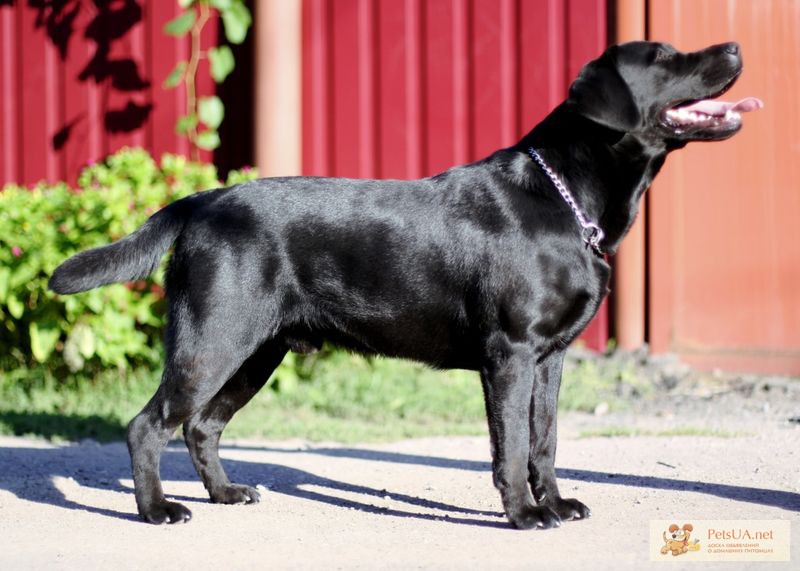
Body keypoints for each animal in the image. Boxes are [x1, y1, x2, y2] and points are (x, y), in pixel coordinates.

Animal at [50, 42, 764, 528]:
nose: (734, 46)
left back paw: (226, 494)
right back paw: (157, 510)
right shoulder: (511, 353)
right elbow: (510, 447)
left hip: (256, 351)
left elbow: (546, 440)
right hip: (213, 340)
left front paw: (557, 504)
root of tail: (201, 201)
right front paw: (524, 516)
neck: (566, 199)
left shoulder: (551, 357)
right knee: (149, 426)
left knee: (201, 426)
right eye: (665, 57)